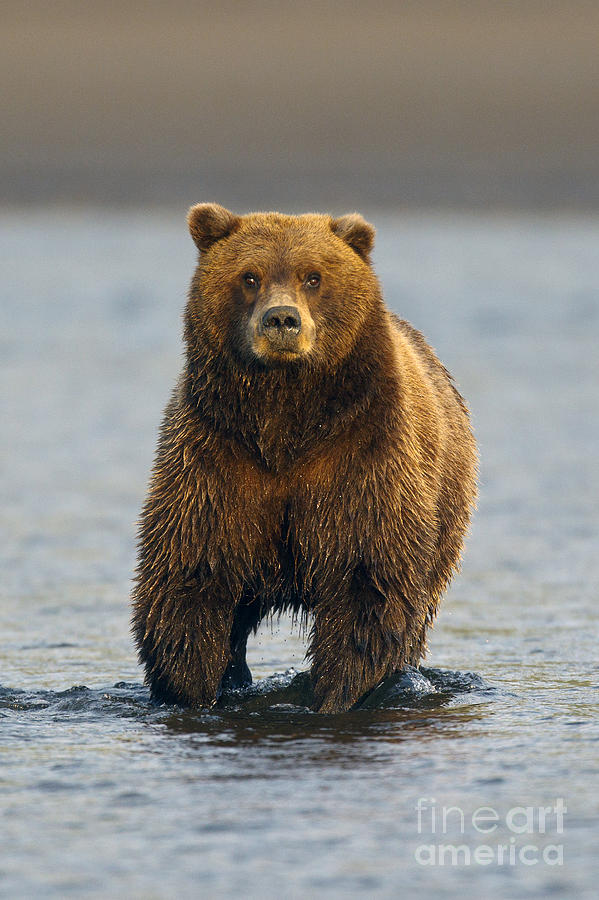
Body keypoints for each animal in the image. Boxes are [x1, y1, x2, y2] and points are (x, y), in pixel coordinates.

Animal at [131, 202, 478, 712]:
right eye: (249, 276)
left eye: (313, 277)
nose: (281, 320)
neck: (284, 423)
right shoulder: (218, 456)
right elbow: (192, 572)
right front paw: (189, 690)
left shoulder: (360, 454)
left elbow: (365, 580)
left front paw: (336, 693)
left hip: (443, 509)